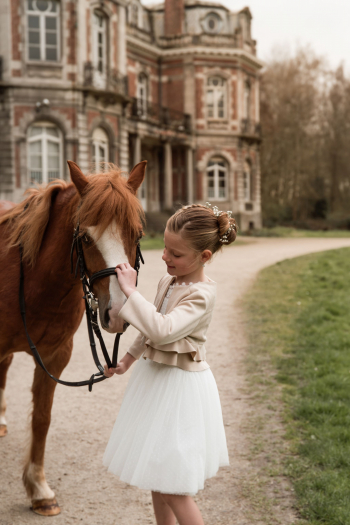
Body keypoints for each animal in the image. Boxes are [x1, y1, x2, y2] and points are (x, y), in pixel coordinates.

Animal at [0, 160, 146, 516]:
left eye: (136, 234)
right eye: (85, 237)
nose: (118, 311)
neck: (34, 280)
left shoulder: (55, 357)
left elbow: (42, 418)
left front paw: (39, 489)